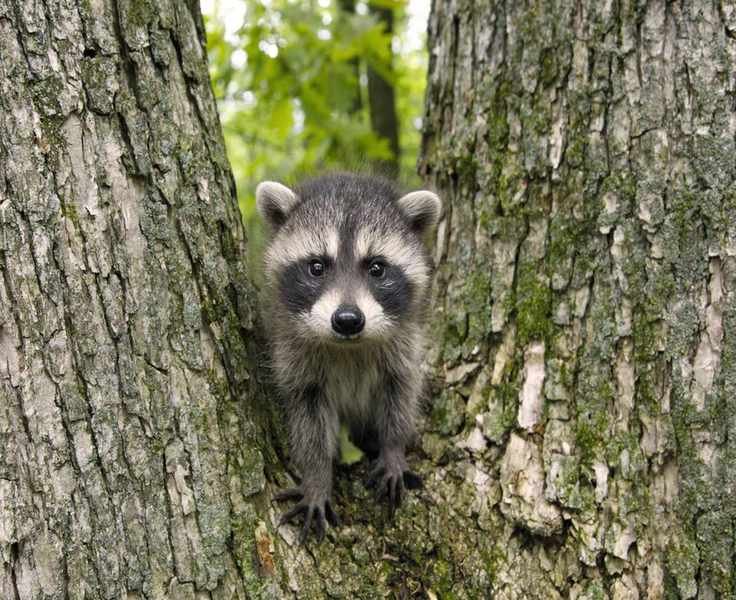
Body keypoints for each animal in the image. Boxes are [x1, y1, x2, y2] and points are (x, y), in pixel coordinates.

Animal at [256, 173, 441, 542]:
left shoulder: (404, 344)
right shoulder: (295, 357)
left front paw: (393, 447)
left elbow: (401, 392)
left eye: (377, 268)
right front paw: (317, 476)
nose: (347, 320)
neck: (348, 346)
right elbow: (308, 419)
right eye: (316, 267)